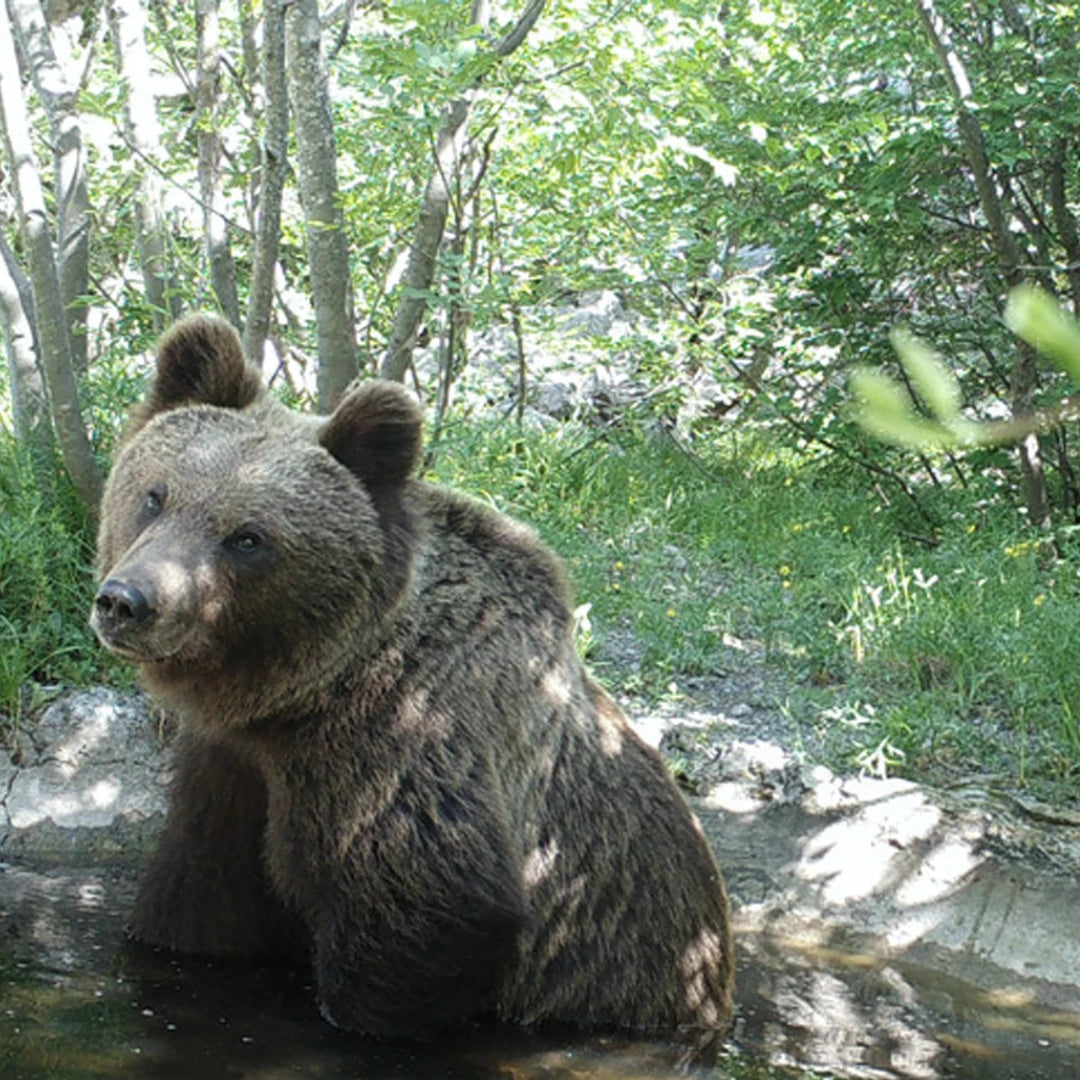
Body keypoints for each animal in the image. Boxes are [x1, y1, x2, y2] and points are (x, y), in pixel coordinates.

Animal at [90, 315, 734, 1041]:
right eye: (156, 495)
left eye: (248, 537)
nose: (127, 601)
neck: (297, 689)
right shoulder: (229, 772)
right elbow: (200, 902)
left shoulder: (394, 750)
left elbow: (421, 921)